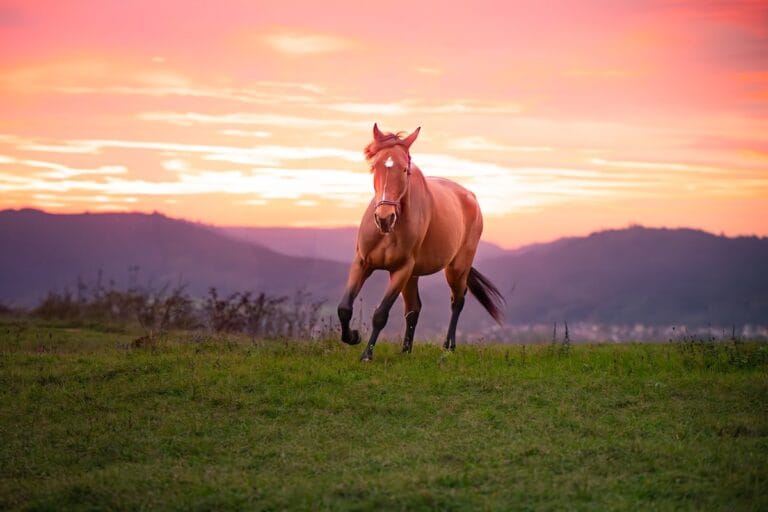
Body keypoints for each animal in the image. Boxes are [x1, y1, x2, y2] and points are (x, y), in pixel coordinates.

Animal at [337, 124, 505, 361]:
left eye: (404, 170)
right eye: (374, 166)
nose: (384, 218)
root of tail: (470, 196)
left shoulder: (401, 270)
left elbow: (381, 314)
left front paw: (366, 355)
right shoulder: (362, 263)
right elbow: (344, 308)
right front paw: (352, 336)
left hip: (456, 268)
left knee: (457, 301)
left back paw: (448, 347)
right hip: (414, 275)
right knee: (414, 309)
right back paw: (406, 350)